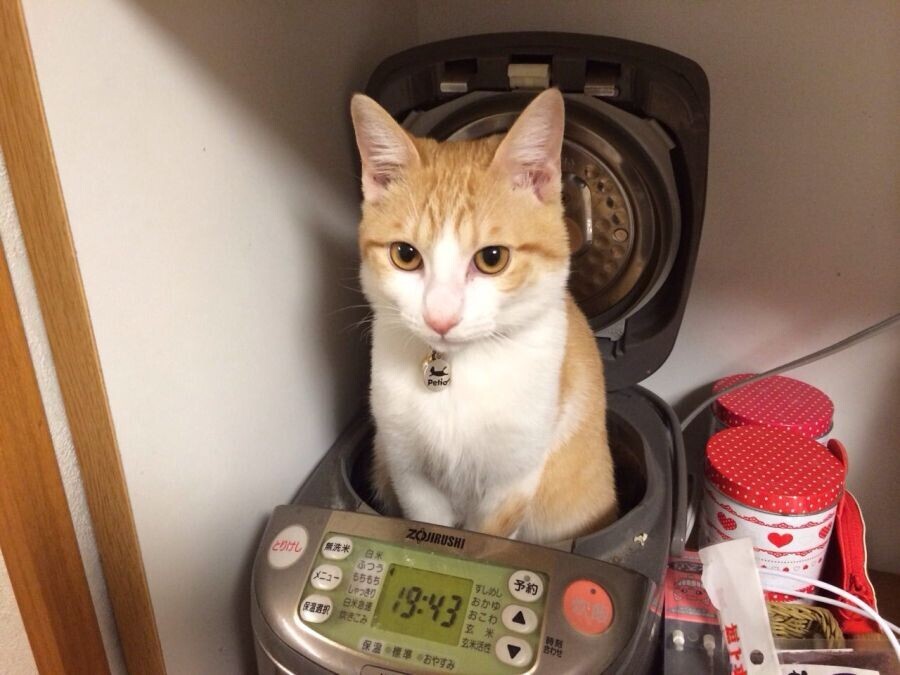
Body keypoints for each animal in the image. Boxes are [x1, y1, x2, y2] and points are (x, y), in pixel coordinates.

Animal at [350, 88, 617, 544]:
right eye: (405, 254)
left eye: (492, 258)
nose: (440, 317)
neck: (459, 374)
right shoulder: (409, 472)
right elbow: (427, 523)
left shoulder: (514, 480)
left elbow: (488, 534)